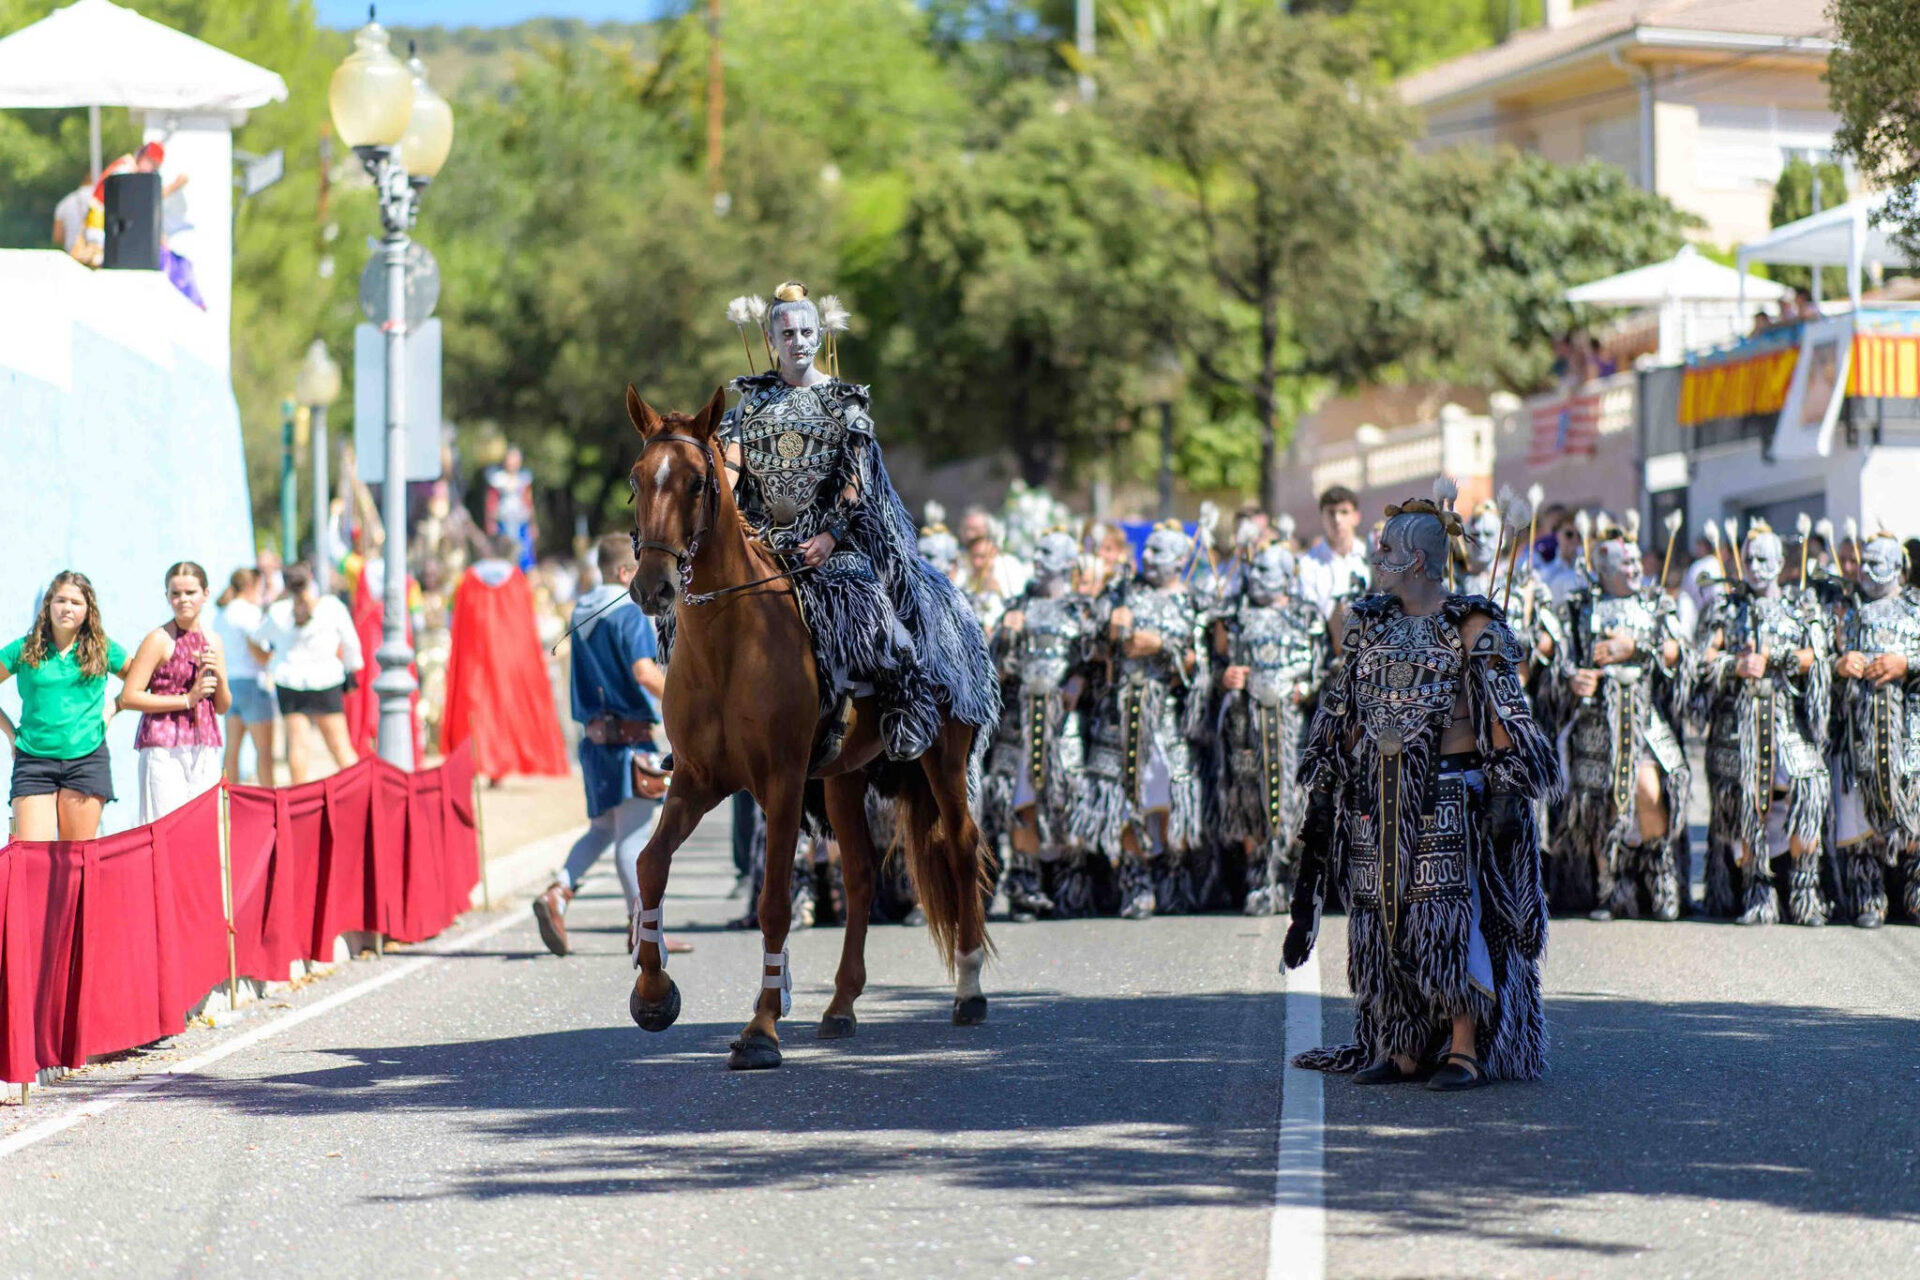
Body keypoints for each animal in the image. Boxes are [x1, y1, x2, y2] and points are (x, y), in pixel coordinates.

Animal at [620, 384, 993, 1071]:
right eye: (637, 478)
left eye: (696, 482)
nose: (652, 587)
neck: (729, 644)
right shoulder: (698, 780)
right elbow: (651, 864)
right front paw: (654, 995)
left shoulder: (782, 782)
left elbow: (773, 902)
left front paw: (762, 1030)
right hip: (843, 779)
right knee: (862, 874)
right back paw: (841, 1005)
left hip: (943, 759)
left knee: (959, 847)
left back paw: (969, 989)